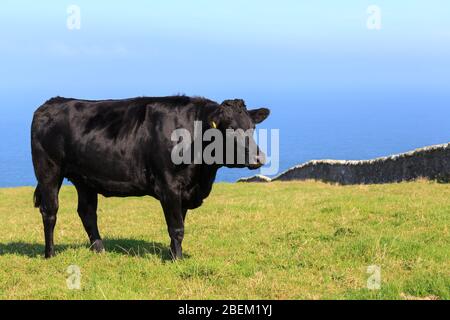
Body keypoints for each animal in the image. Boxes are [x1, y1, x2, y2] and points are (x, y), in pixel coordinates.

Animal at [32, 96, 270, 258]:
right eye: (229, 128)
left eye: (252, 127)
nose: (258, 157)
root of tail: (52, 102)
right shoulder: (169, 186)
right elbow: (176, 227)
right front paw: (177, 260)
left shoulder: (185, 191)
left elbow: (179, 225)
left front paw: (174, 254)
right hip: (48, 170)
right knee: (50, 211)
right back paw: (50, 254)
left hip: (84, 179)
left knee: (87, 212)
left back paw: (99, 250)